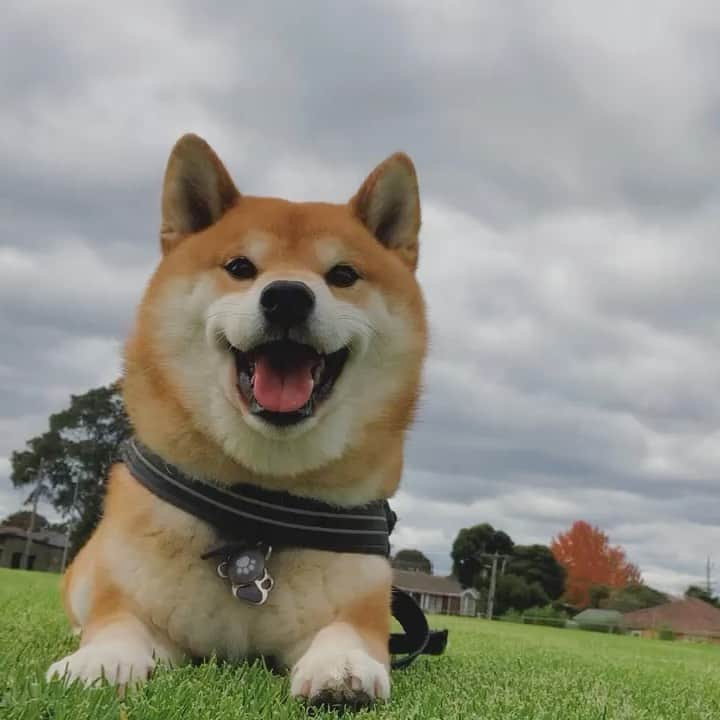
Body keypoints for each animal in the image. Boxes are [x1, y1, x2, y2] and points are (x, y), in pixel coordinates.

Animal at [45, 135, 424, 708]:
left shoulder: (360, 601)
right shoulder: (134, 601)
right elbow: (117, 624)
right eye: (241, 266)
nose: (287, 295)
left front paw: (343, 666)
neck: (259, 504)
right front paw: (100, 660)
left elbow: (347, 634)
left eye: (342, 275)